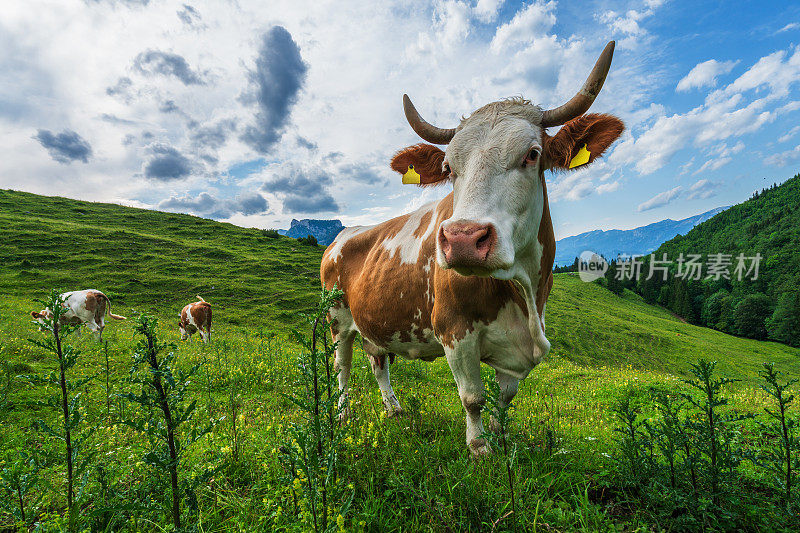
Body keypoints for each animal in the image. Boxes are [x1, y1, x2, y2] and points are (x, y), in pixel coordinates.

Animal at [320, 41, 624, 454]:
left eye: (532, 154)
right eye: (448, 168)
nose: (463, 238)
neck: (522, 295)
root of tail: (345, 233)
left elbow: (504, 397)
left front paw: (499, 435)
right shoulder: (454, 330)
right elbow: (473, 398)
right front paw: (480, 448)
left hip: (374, 320)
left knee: (377, 361)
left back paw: (394, 410)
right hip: (337, 319)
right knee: (343, 367)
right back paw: (342, 414)